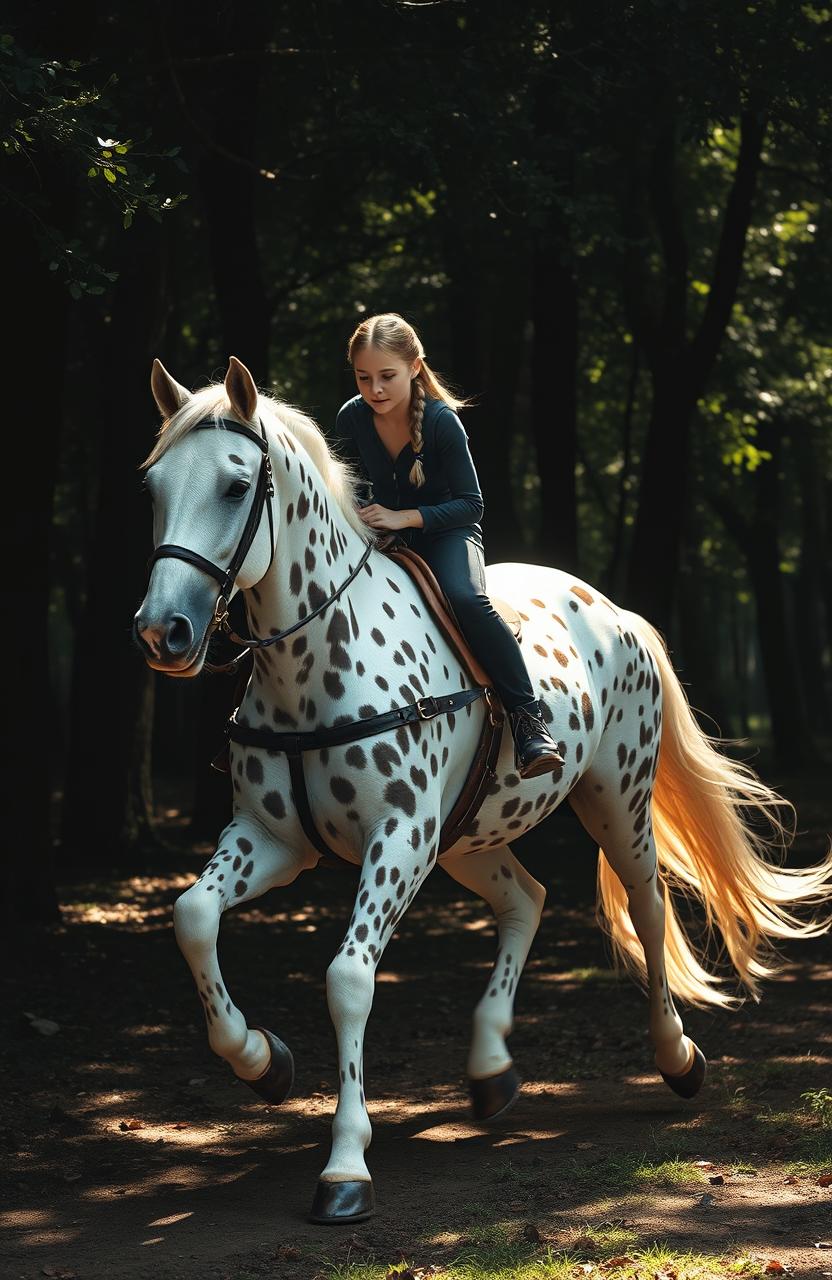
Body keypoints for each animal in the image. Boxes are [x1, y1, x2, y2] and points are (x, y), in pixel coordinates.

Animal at [133, 355, 832, 1225]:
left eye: (234, 487)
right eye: (154, 486)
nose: (163, 632)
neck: (308, 664)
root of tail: (617, 613)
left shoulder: (398, 840)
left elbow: (349, 981)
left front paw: (345, 1165)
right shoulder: (272, 839)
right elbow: (193, 918)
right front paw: (264, 1061)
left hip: (613, 802)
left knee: (647, 906)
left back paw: (676, 1057)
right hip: (469, 836)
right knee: (526, 899)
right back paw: (492, 1066)